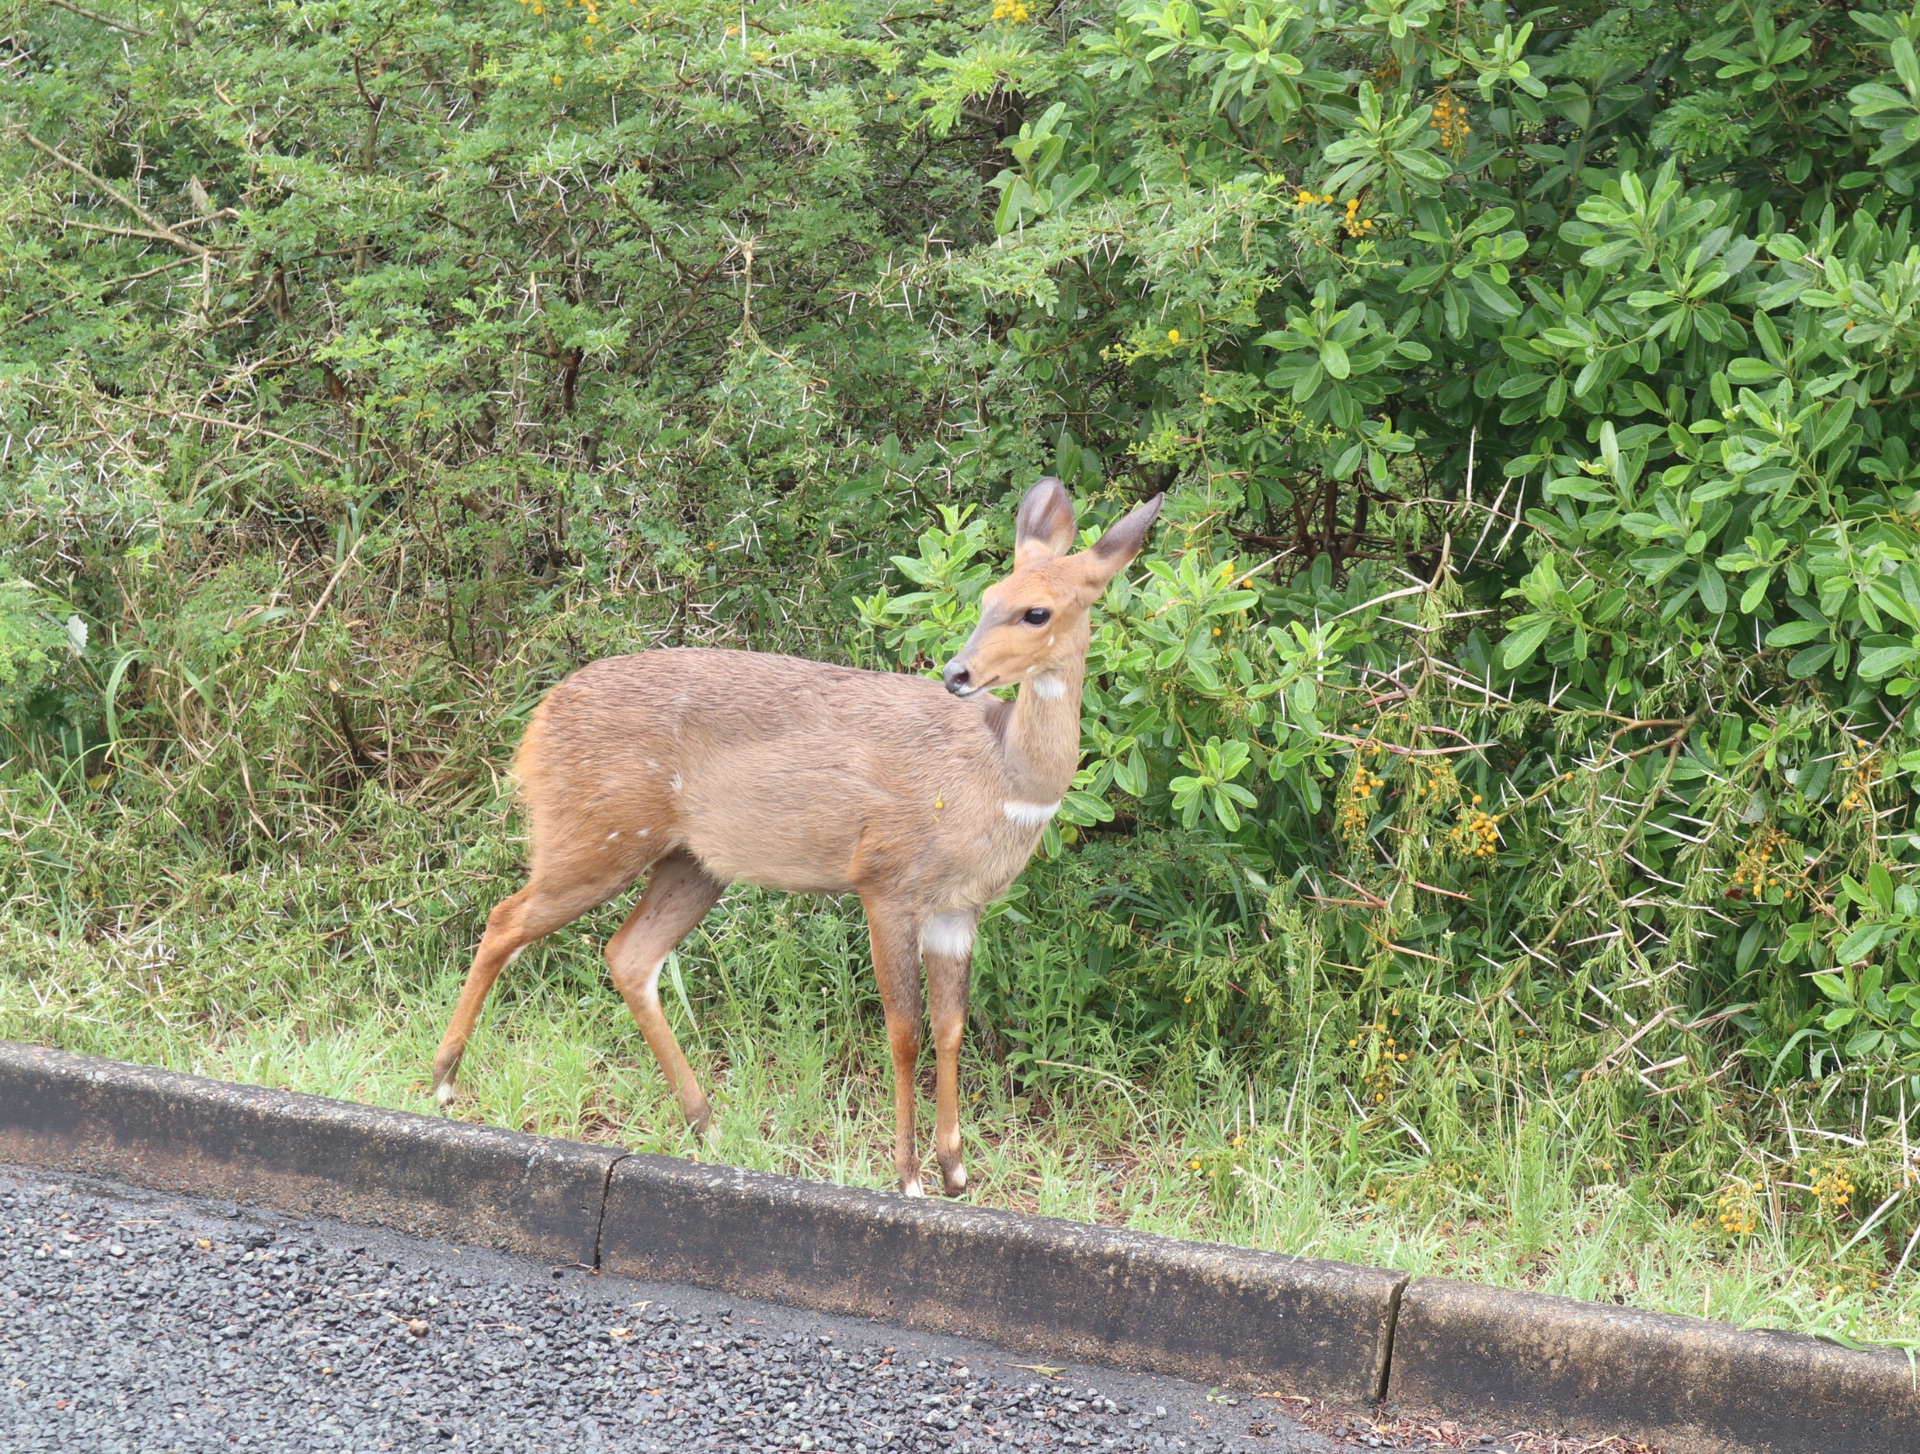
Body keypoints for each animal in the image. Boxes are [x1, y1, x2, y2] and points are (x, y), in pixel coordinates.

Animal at [430, 482, 1159, 1198]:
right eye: (986, 599)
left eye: (1036, 612)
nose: (958, 672)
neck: (1002, 777)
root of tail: (536, 726)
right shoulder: (886, 880)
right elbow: (905, 1030)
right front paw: (908, 1175)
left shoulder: (959, 907)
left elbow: (951, 1027)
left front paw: (956, 1170)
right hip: (596, 837)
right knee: (506, 919)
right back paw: (443, 1082)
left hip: (692, 864)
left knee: (628, 955)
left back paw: (706, 1122)